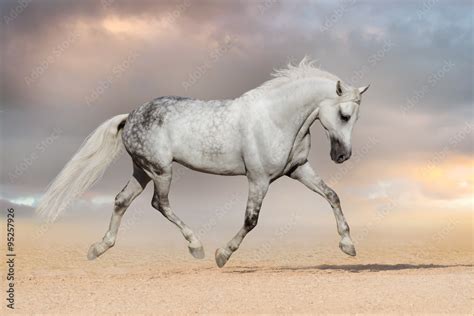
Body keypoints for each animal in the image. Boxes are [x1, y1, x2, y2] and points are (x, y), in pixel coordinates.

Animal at [37, 56, 370, 266]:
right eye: (344, 115)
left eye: (355, 117)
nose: (342, 156)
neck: (277, 118)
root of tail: (130, 115)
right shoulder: (259, 178)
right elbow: (251, 221)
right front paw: (222, 255)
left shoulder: (298, 170)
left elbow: (332, 196)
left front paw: (348, 246)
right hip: (161, 170)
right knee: (159, 204)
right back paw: (196, 246)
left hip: (142, 171)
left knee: (121, 200)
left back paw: (98, 248)